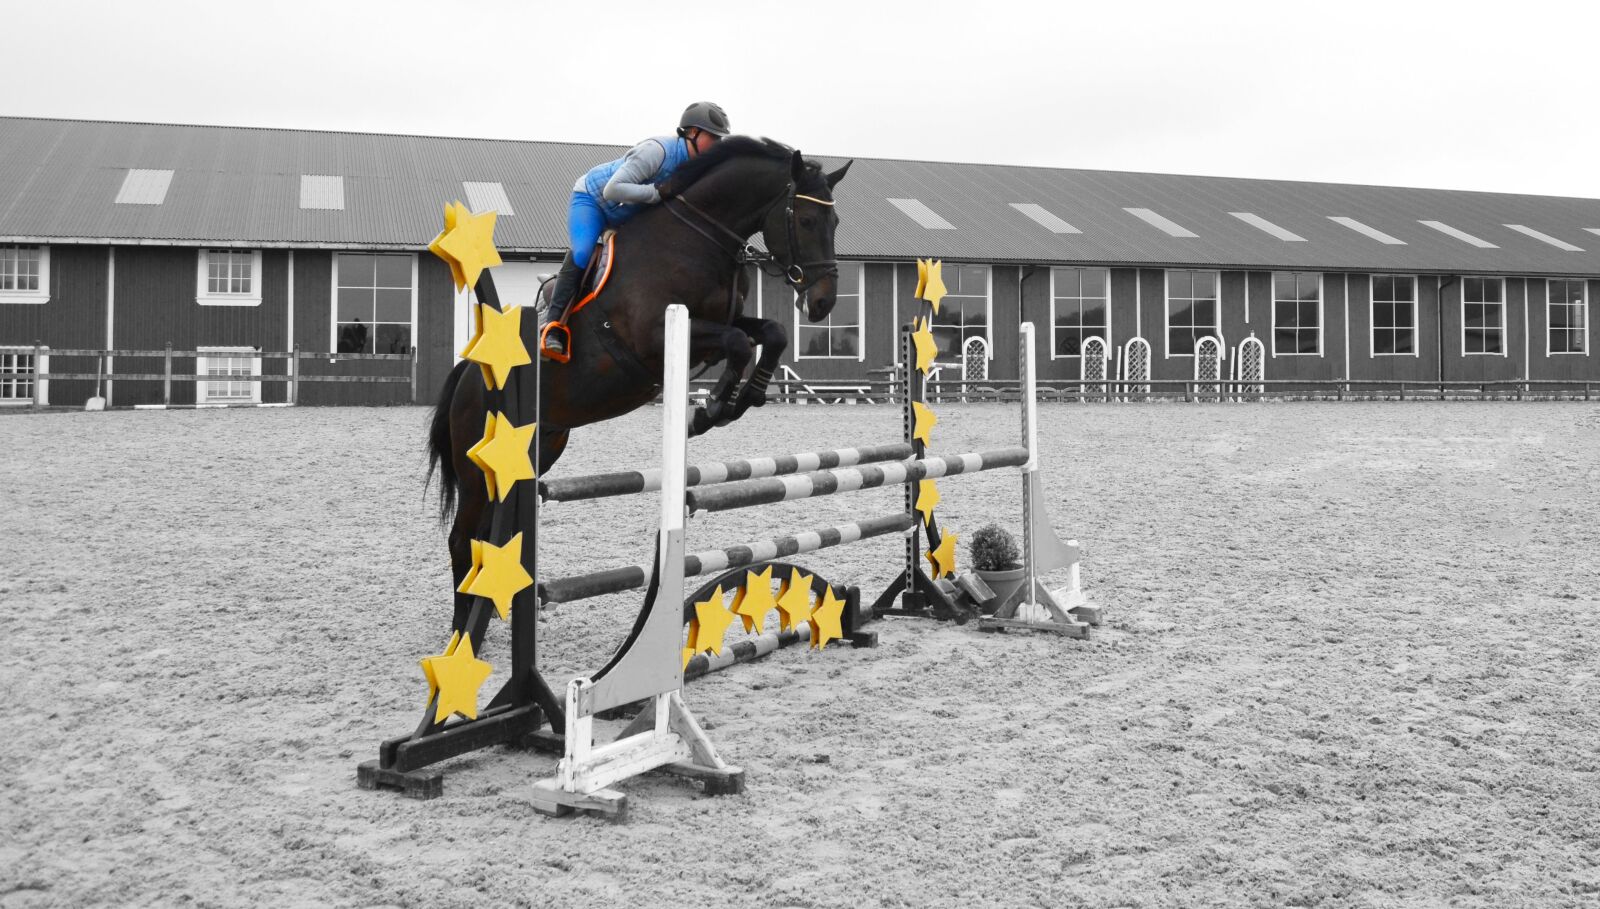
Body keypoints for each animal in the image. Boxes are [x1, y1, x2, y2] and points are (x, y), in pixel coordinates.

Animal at [426, 136, 851, 626]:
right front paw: (710, 411)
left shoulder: (719, 326)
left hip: (540, 449)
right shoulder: (655, 338)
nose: (823, 303)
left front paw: (747, 397)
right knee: (462, 537)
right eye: (805, 219)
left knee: (489, 532)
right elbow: (740, 344)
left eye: (835, 221)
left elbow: (769, 334)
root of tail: (471, 372)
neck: (699, 235)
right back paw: (463, 628)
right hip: (479, 467)